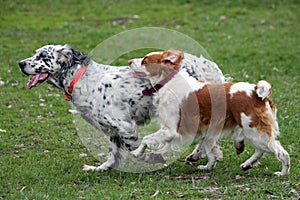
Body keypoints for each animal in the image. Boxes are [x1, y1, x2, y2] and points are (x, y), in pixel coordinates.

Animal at [19, 44, 227, 171]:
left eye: (42, 56)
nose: (20, 63)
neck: (82, 80)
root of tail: (204, 64)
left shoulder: (124, 125)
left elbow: (134, 148)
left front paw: (153, 158)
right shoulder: (111, 129)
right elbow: (113, 152)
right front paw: (103, 167)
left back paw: (198, 154)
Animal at [129, 49, 290, 175]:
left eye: (144, 61)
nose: (129, 61)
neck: (169, 82)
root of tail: (257, 92)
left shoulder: (171, 130)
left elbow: (146, 139)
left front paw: (136, 153)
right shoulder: (207, 129)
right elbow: (211, 151)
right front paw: (208, 166)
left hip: (254, 132)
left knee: (281, 152)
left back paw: (282, 173)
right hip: (252, 133)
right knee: (261, 150)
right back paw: (247, 164)